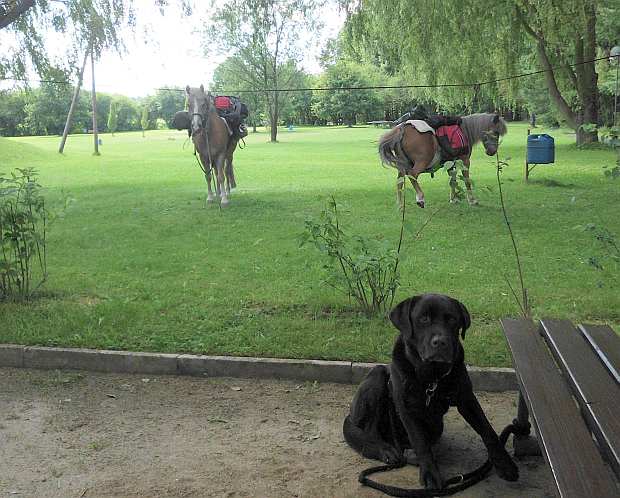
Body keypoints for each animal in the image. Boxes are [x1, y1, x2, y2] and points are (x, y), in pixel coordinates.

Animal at [344, 294, 520, 488]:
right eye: (423, 319)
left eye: (452, 319)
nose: (440, 342)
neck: (432, 377)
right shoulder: (407, 408)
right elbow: (420, 441)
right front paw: (430, 474)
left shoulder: (466, 398)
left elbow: (487, 430)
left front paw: (505, 465)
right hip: (377, 378)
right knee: (371, 432)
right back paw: (385, 450)